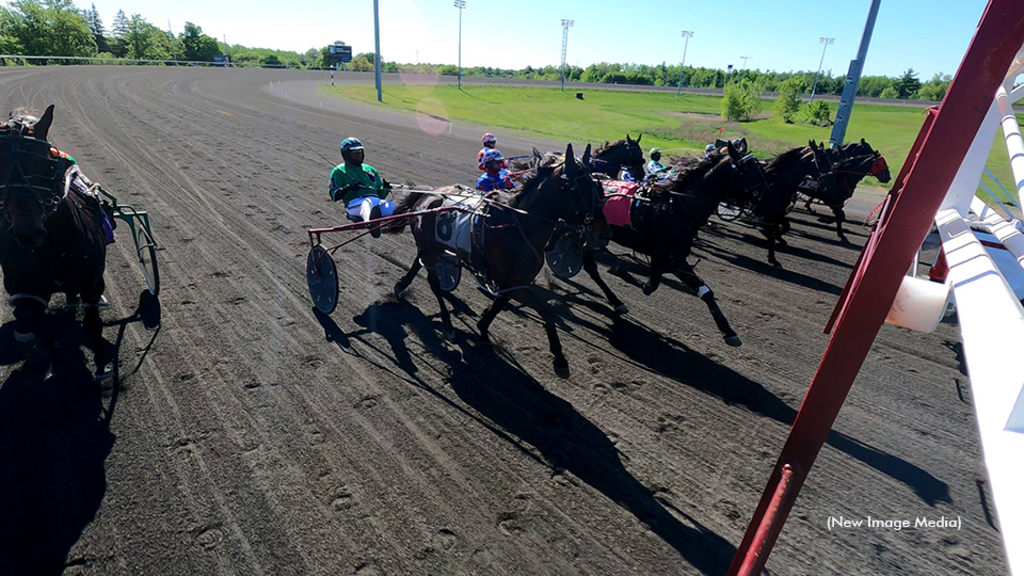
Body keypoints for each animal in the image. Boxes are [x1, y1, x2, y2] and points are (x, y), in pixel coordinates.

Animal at [0, 105, 111, 377]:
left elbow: (92, 322)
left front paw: (102, 364)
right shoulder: (26, 290)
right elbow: (39, 326)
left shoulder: (91, 282)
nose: (27, 231)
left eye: (47, 163)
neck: (50, 249)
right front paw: (61, 363)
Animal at [385, 143, 606, 377]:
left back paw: (401, 286)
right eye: (577, 190)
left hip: (433, 246)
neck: (521, 225)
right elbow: (546, 310)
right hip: (430, 249)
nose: (604, 234)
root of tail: (427, 195)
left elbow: (499, 304)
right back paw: (447, 325)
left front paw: (482, 329)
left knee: (419, 262)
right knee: (434, 283)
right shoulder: (515, 285)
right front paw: (560, 359)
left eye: (598, 187)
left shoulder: (513, 282)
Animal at [577, 139, 770, 344]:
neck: (675, 207)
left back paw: (616, 301)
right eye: (747, 170)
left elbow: (661, 287)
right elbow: (656, 287)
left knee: (590, 267)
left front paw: (729, 330)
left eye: (759, 167)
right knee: (590, 267)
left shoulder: (666, 258)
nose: (768, 198)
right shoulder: (671, 258)